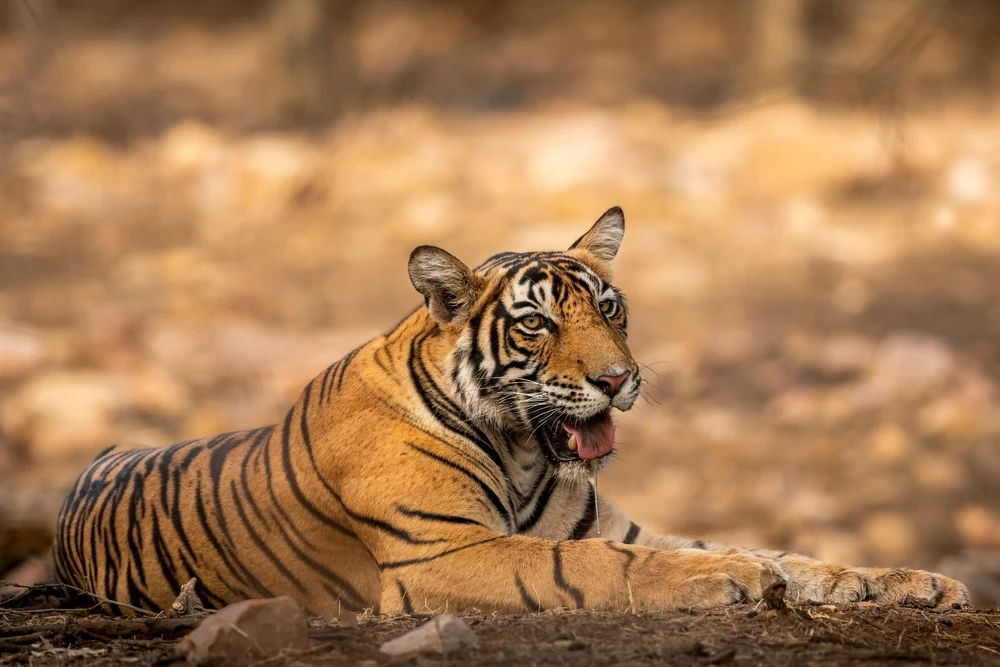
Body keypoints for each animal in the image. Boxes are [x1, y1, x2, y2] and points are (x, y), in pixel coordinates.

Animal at [53, 207, 970, 616]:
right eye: (539, 323)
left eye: (611, 309)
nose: (620, 379)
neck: (525, 448)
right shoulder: (440, 554)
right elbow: (598, 567)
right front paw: (724, 579)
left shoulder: (621, 524)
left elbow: (774, 547)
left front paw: (910, 579)